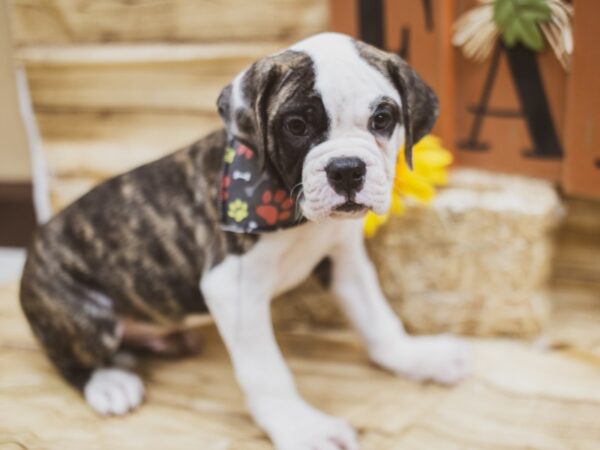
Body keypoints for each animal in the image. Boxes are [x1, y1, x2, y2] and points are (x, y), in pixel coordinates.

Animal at [19, 32, 468, 450]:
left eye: (383, 118)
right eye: (296, 126)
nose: (346, 169)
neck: (297, 215)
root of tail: (32, 253)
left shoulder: (344, 260)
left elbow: (377, 319)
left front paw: (416, 357)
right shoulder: (233, 287)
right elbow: (266, 371)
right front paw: (301, 428)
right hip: (90, 318)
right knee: (67, 357)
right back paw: (108, 382)